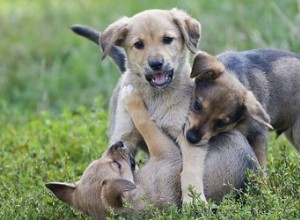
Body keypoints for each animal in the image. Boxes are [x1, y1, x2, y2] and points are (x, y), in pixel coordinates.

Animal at [45, 85, 258, 219]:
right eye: (117, 165)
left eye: (100, 161)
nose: (117, 145)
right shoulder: (166, 152)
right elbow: (146, 123)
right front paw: (131, 97)